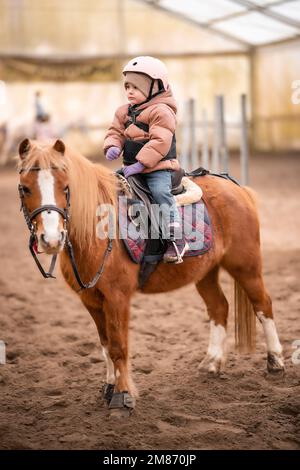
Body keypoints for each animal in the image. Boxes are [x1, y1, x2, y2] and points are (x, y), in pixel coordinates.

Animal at [17, 139, 284, 414]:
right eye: (25, 188)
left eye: (66, 187)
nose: (50, 239)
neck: (97, 227)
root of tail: (238, 189)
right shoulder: (91, 300)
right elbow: (105, 345)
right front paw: (109, 388)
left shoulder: (117, 298)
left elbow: (118, 347)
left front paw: (122, 396)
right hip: (206, 272)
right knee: (219, 307)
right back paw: (211, 363)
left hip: (246, 266)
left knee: (263, 305)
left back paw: (275, 362)